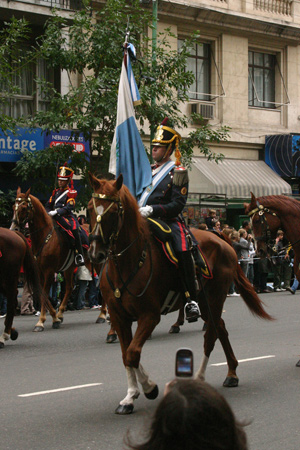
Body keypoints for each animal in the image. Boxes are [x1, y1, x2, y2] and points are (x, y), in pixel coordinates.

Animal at [9, 186, 92, 330]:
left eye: (24, 207)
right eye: (14, 206)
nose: (14, 229)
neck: (44, 236)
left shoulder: (49, 271)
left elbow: (44, 293)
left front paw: (41, 321)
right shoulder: (39, 271)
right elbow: (42, 293)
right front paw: (54, 317)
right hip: (69, 268)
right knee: (69, 287)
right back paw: (61, 313)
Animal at [88, 174, 274, 414]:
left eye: (113, 212)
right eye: (90, 209)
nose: (95, 253)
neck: (129, 262)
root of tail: (222, 239)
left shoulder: (150, 316)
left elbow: (132, 352)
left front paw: (149, 388)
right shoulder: (120, 317)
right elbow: (126, 355)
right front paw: (130, 396)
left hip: (212, 299)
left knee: (211, 336)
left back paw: (200, 378)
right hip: (207, 304)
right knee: (220, 329)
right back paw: (231, 373)